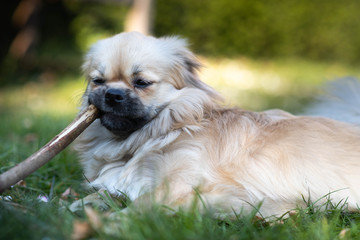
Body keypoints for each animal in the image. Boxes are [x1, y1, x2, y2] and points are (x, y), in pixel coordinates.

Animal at [73, 31, 360, 218]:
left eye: (142, 83)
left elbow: (140, 206)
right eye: (98, 81)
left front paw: (111, 223)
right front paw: (73, 207)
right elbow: (98, 196)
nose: (113, 94)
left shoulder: (178, 186)